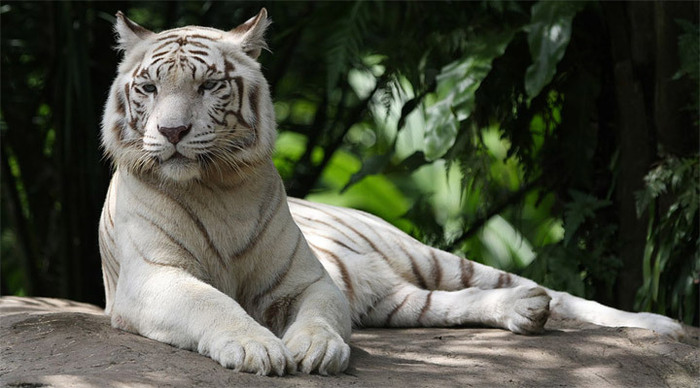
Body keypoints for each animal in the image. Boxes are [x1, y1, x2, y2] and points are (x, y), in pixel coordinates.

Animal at [101, 9, 688, 378]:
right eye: (149, 88)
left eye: (208, 86)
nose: (173, 132)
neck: (217, 186)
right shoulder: (152, 277)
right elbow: (214, 303)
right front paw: (254, 346)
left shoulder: (308, 281)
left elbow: (317, 317)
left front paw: (316, 348)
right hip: (390, 298)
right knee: (442, 306)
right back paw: (525, 311)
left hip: (424, 256)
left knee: (548, 291)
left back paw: (658, 324)